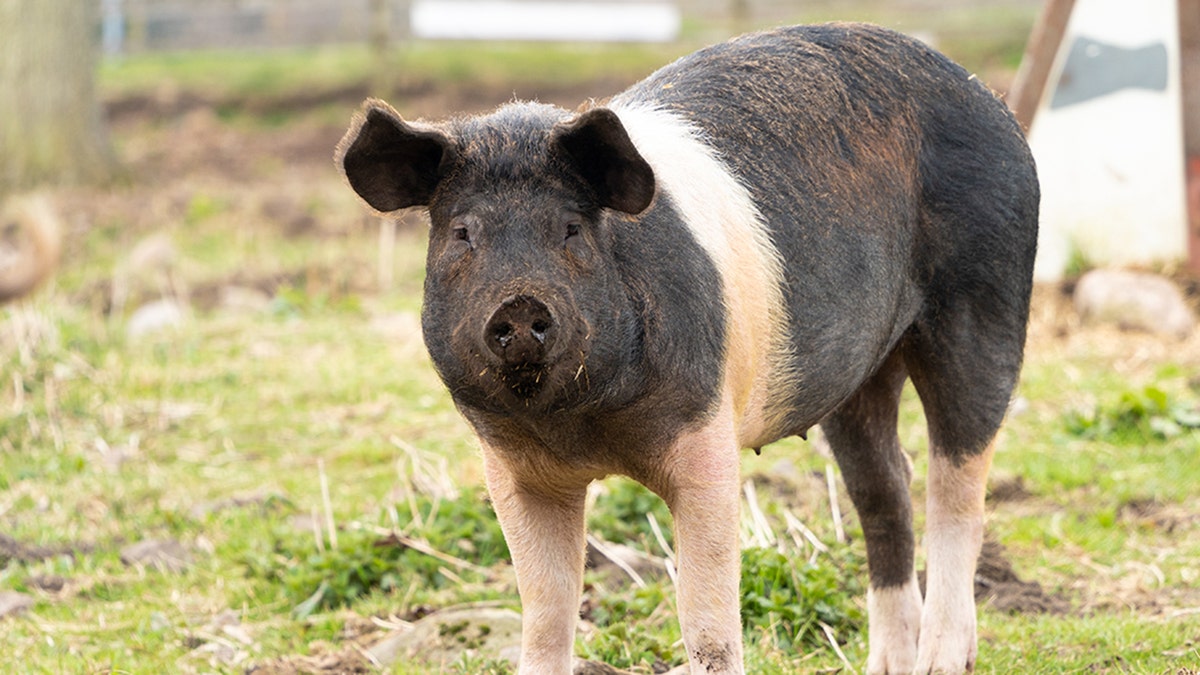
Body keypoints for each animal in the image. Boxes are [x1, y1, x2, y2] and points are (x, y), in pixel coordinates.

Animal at [336, 22, 1038, 675]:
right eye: (462, 233)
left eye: (571, 228)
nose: (521, 304)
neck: (585, 428)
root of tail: (990, 98)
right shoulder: (513, 469)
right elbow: (546, 612)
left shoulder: (705, 434)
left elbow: (705, 620)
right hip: (857, 376)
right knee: (886, 489)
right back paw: (887, 664)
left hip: (986, 301)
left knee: (957, 486)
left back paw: (944, 659)